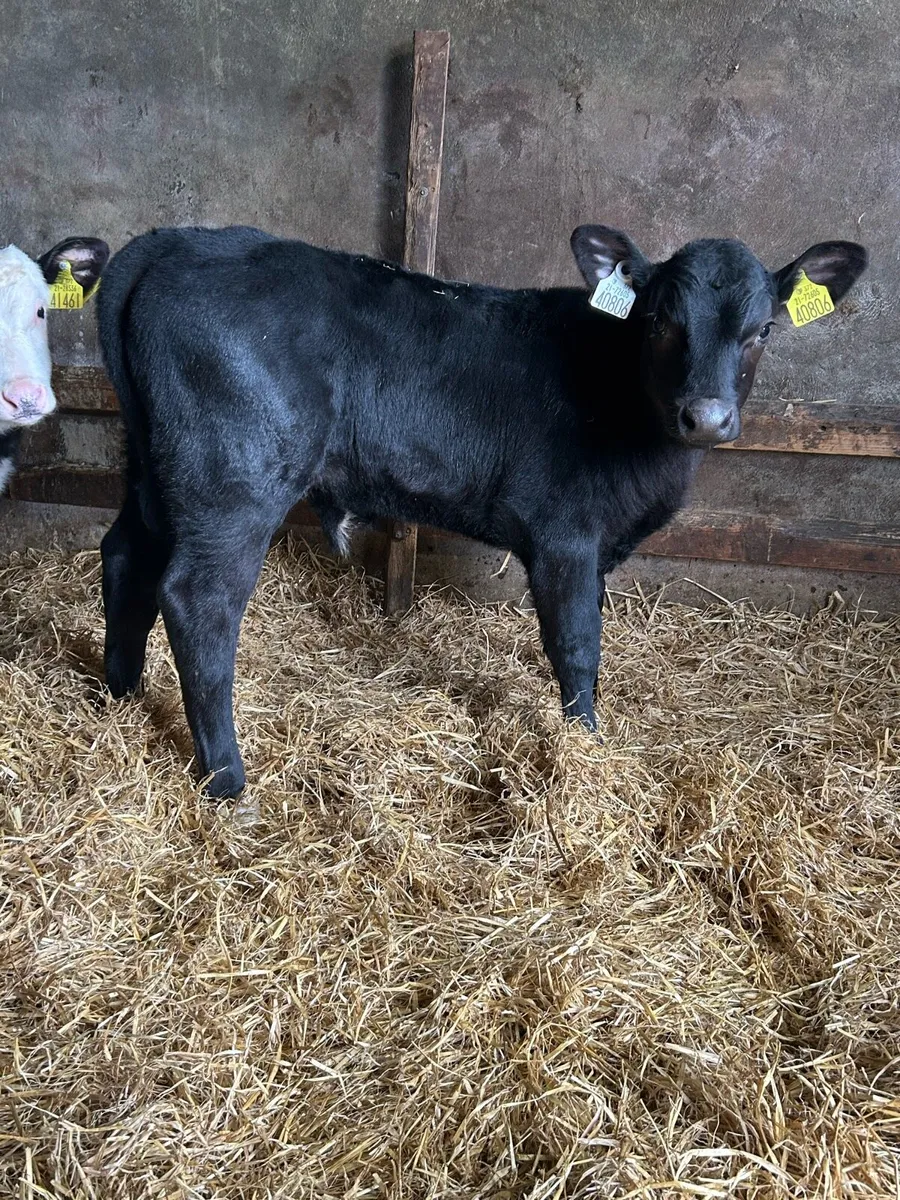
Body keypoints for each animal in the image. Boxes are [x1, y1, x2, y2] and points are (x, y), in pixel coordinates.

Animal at [96, 223, 866, 799]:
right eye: (659, 323)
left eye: (763, 329)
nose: (705, 417)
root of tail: (183, 241)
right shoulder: (564, 535)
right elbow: (577, 643)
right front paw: (584, 743)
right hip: (232, 482)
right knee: (199, 601)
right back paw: (227, 778)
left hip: (154, 472)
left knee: (126, 556)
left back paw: (121, 694)